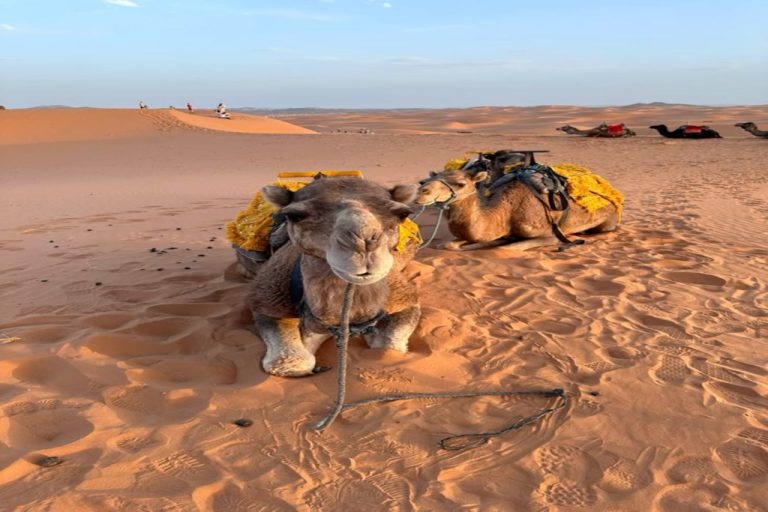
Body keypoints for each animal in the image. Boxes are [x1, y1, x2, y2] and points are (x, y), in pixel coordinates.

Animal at [248, 176, 421, 377]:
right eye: (294, 215)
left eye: (403, 214)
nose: (364, 244)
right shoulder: (266, 300)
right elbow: (291, 363)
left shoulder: (405, 299)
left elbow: (387, 347)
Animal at [415, 168, 620, 251]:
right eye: (429, 178)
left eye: (460, 184)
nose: (422, 191)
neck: (506, 210)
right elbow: (448, 244)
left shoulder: (549, 234)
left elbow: (508, 248)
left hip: (608, 220)